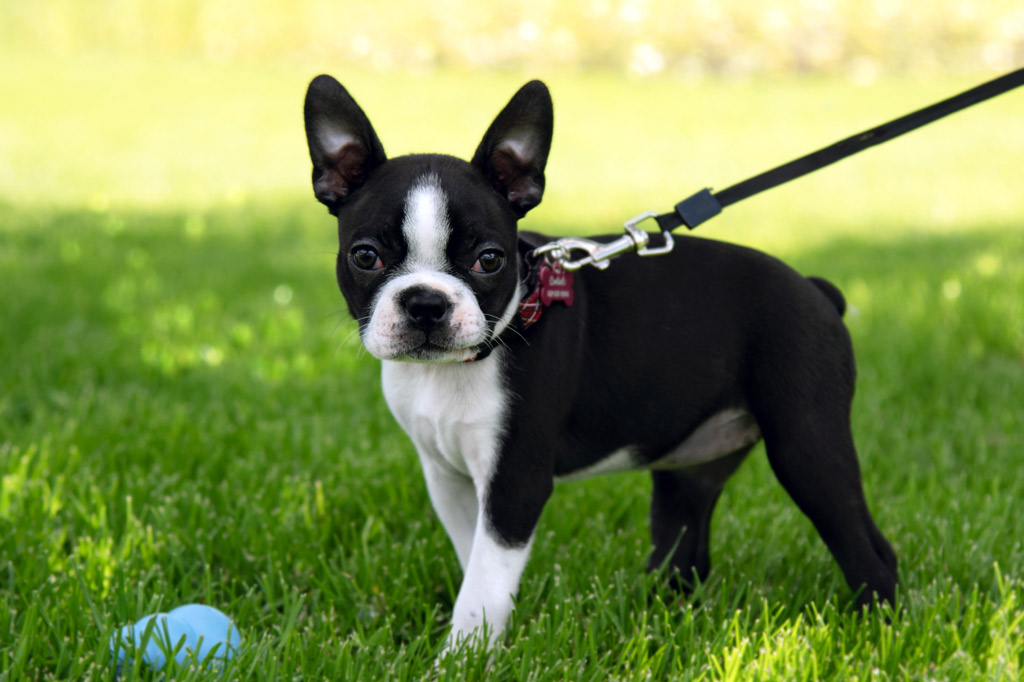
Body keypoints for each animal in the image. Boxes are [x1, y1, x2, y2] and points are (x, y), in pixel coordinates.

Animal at [301, 76, 897, 651]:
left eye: (489, 260)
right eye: (365, 256)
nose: (426, 303)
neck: (454, 368)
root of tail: (817, 291)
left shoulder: (514, 484)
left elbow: (483, 586)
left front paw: (460, 658)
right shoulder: (446, 477)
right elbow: (477, 569)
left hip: (806, 445)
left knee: (870, 550)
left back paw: (876, 634)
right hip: (690, 468)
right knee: (686, 548)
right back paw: (661, 620)